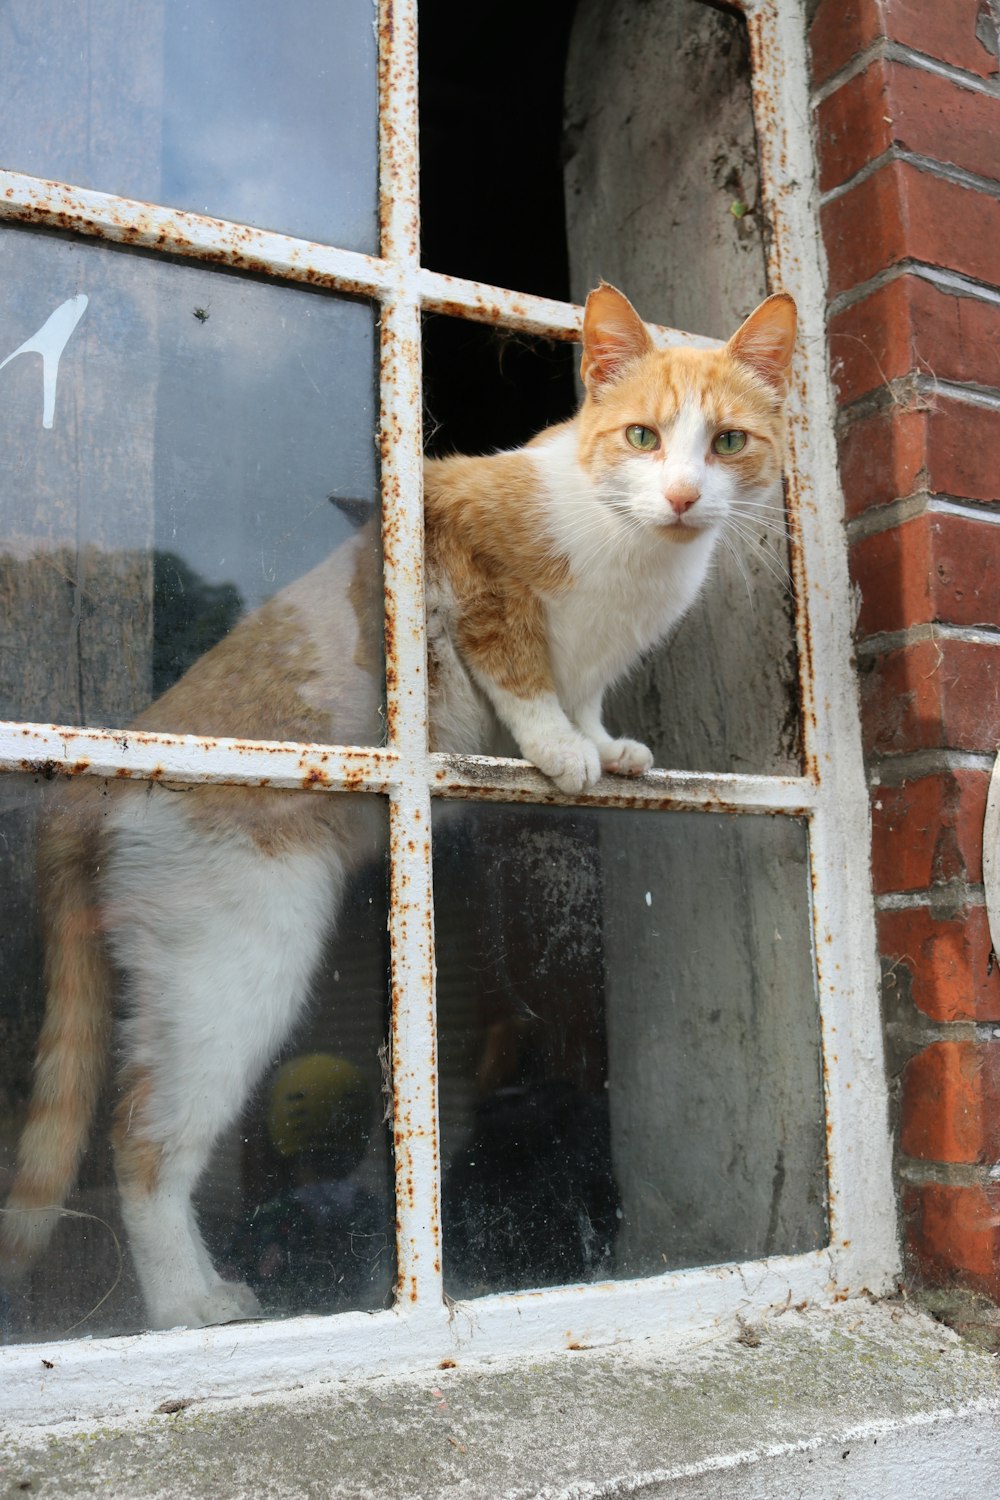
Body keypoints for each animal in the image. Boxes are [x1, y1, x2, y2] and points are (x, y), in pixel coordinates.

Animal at [1, 282, 797, 1326]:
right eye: (643, 436)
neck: (634, 563)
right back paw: (187, 1304)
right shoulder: (467, 561)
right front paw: (562, 750)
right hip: (232, 964)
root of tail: (103, 778)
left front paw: (605, 745)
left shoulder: (594, 659)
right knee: (142, 1140)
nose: (682, 495)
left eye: (730, 442)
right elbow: (521, 669)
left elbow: (583, 693)